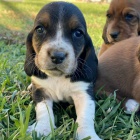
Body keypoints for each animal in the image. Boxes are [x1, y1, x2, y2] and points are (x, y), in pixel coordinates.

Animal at [24, 1, 100, 140]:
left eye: (78, 33)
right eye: (40, 29)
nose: (57, 56)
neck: (58, 77)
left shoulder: (83, 93)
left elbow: (85, 117)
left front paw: (88, 135)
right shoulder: (41, 91)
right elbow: (44, 111)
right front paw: (42, 129)